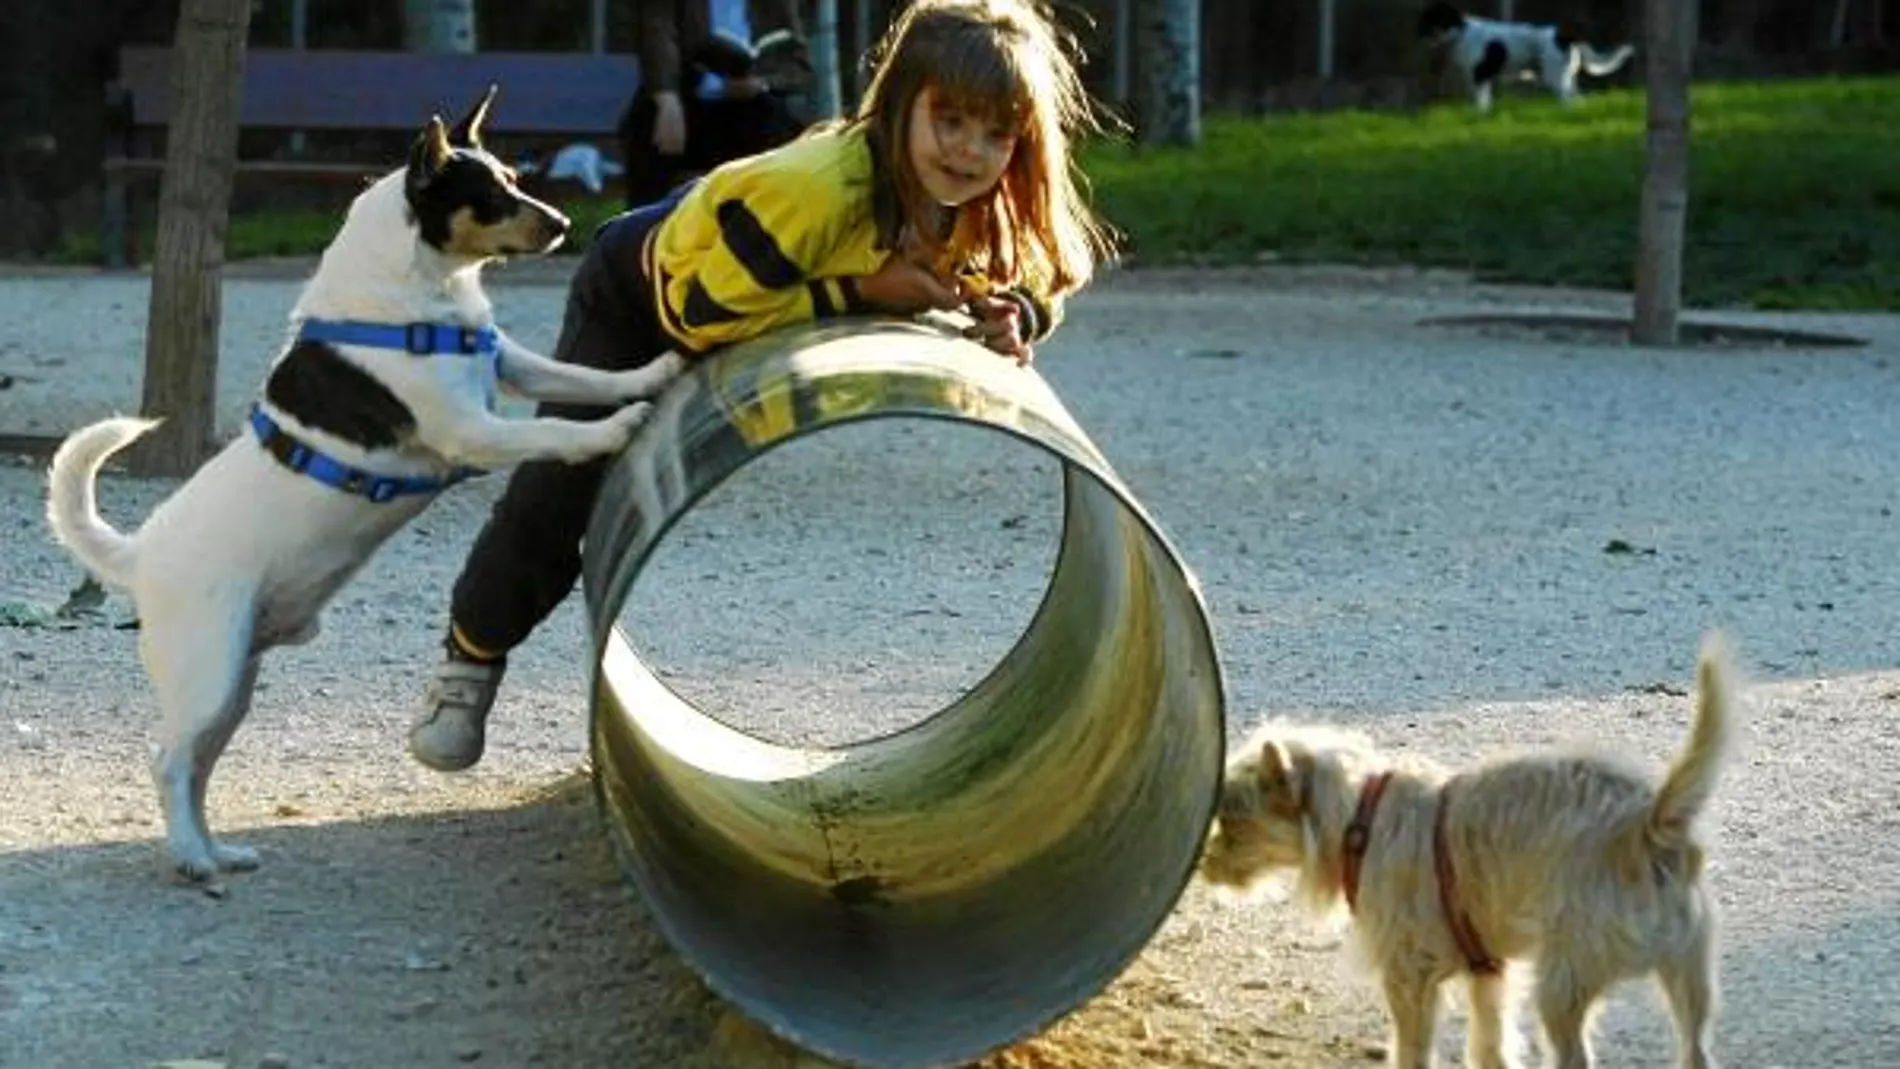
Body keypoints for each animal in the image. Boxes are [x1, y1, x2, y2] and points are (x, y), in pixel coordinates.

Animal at [44, 85, 687, 888]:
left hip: (233, 687)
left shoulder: (511, 365)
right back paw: (193, 859)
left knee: (196, 769)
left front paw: (650, 375)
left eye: (515, 177)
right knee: (167, 762)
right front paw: (616, 429)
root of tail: (138, 554)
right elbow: (557, 432)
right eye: (491, 194)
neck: (419, 295)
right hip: (207, 673)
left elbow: (582, 378)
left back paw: (219, 849)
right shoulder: (470, 429)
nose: (567, 224)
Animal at [1200, 634, 1740, 1069]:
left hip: (1561, 986)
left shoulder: (1409, 980)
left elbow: (1413, 1051)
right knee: (1696, 1050)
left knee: (1576, 1056)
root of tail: (1649, 825)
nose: (1202, 865)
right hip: (1690, 981)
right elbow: (1490, 1044)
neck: (1360, 815)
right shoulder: (1490, 977)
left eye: (1231, 821)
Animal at [1421, 2, 1641, 112]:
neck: (1461, 31)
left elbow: (1481, 100)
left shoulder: (1480, 75)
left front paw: (1478, 114)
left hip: (1554, 76)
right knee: (1577, 97)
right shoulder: (1481, 77)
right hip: (1566, 76)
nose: (1421, 34)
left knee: (1566, 99)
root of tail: (1562, 34)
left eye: (1432, 18)